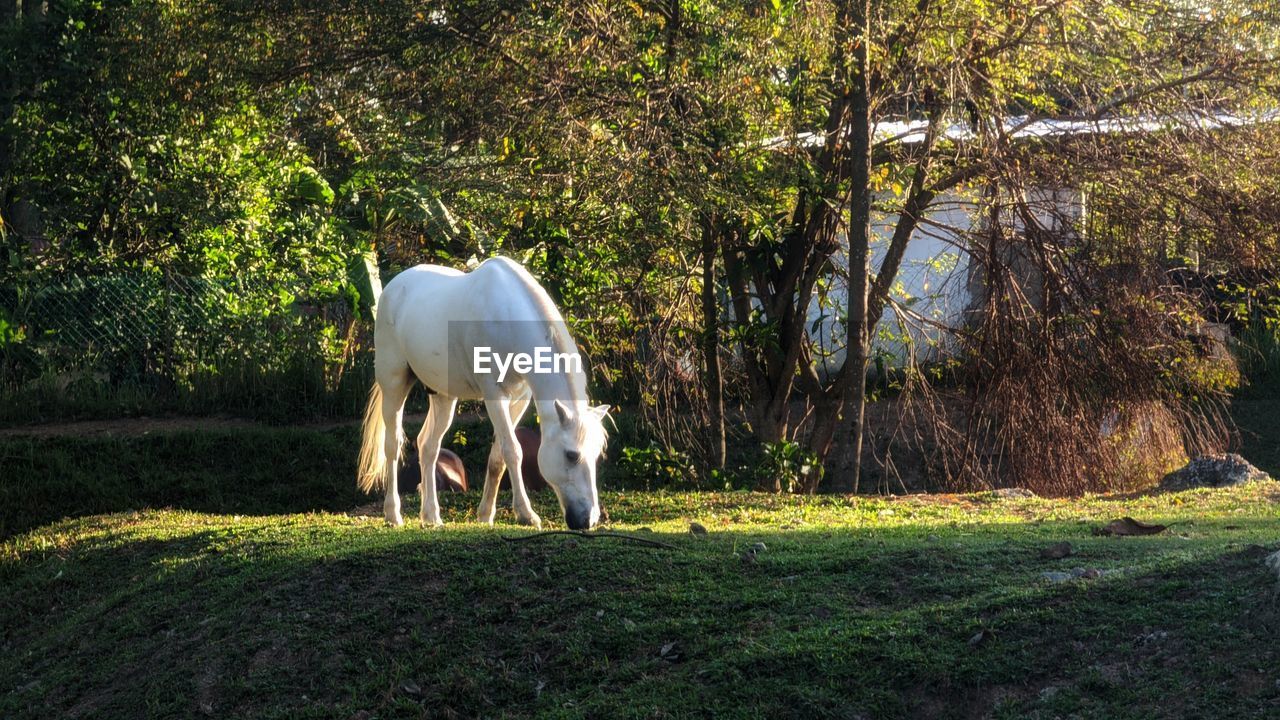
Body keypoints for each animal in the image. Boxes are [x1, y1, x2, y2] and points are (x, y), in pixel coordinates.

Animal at [353, 256, 606, 527]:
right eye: (571, 455)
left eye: (596, 455)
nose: (587, 520)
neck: (506, 317)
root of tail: (392, 288)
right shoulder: (494, 395)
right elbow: (513, 451)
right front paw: (526, 514)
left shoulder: (519, 399)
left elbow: (498, 457)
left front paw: (485, 514)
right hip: (394, 384)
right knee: (392, 446)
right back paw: (393, 514)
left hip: (443, 396)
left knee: (428, 447)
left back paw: (431, 516)